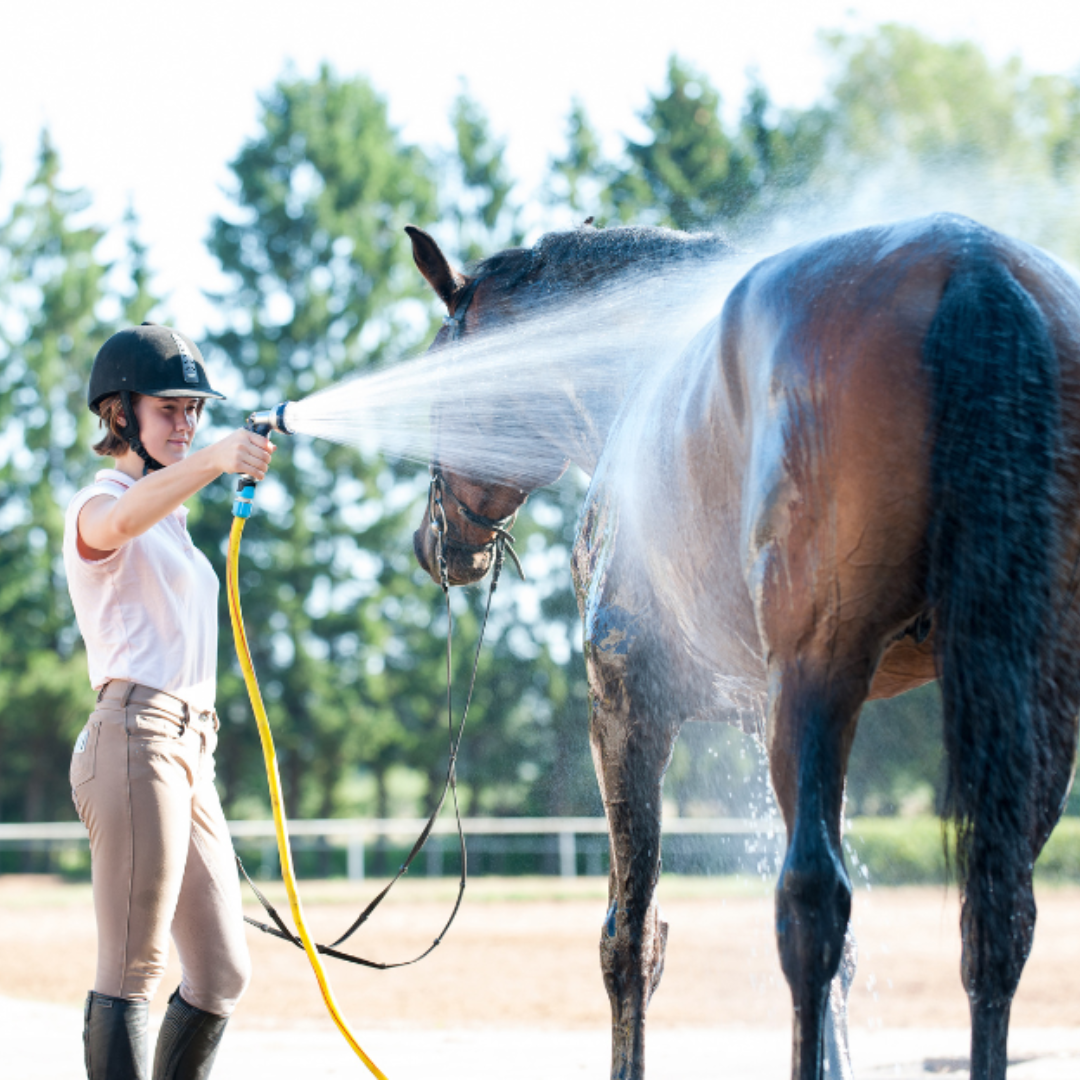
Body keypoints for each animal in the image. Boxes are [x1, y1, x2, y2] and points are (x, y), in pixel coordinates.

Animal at [405, 214, 1080, 1080]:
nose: (436, 544)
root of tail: (972, 261)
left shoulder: (627, 705)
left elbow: (632, 938)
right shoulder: (767, 716)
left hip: (821, 672)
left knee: (811, 904)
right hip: (1024, 697)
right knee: (997, 915)